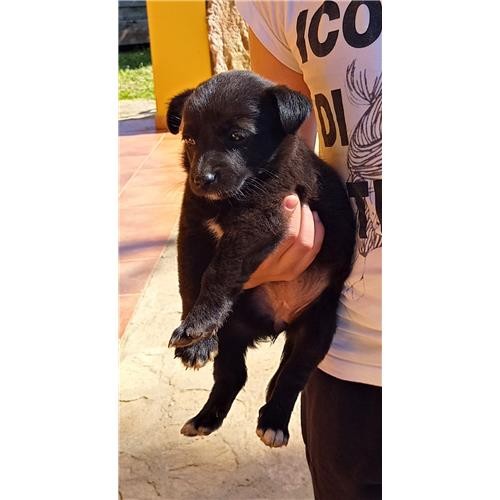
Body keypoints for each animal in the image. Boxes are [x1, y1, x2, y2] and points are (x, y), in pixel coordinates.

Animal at [166, 70, 355, 448]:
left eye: (238, 137)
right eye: (190, 139)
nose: (201, 179)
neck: (232, 199)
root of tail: (276, 325)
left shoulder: (262, 219)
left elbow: (217, 271)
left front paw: (197, 325)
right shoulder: (192, 229)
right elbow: (190, 279)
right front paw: (197, 339)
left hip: (319, 327)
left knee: (294, 372)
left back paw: (274, 421)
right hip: (234, 328)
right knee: (233, 374)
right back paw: (205, 418)